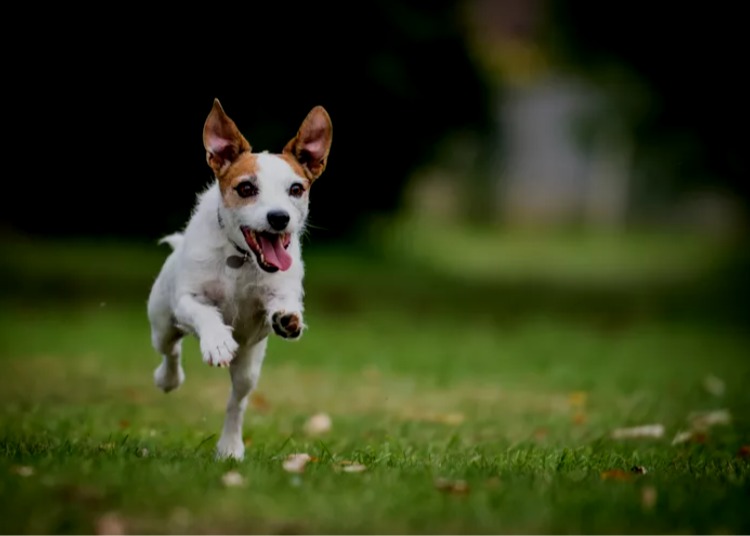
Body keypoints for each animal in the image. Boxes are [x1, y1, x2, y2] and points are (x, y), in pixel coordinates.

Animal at [147, 98, 332, 458]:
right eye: (246, 188)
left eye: (296, 189)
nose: (279, 217)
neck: (240, 257)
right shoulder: (187, 299)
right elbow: (204, 312)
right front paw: (217, 340)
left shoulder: (277, 293)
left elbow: (283, 303)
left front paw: (288, 318)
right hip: (162, 321)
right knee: (170, 350)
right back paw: (168, 379)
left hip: (249, 364)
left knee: (237, 400)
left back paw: (230, 446)